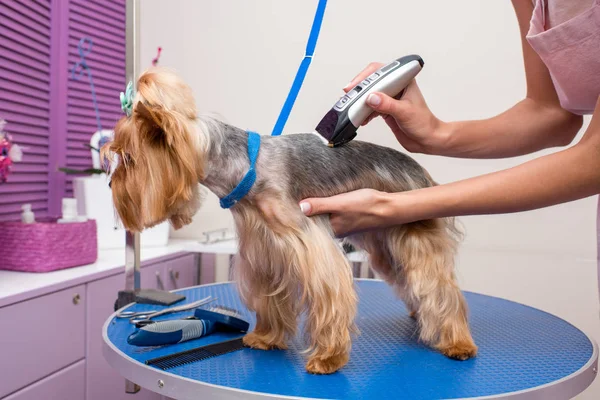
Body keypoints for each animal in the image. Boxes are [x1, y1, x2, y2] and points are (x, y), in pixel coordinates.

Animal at [103, 67, 478, 374]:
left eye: (129, 158)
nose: (109, 184)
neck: (245, 166)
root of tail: (421, 172)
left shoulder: (308, 242)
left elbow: (329, 293)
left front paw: (328, 358)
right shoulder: (264, 249)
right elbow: (270, 300)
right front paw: (265, 337)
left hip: (414, 232)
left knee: (440, 286)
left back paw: (456, 341)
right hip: (383, 243)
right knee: (411, 282)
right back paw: (420, 315)